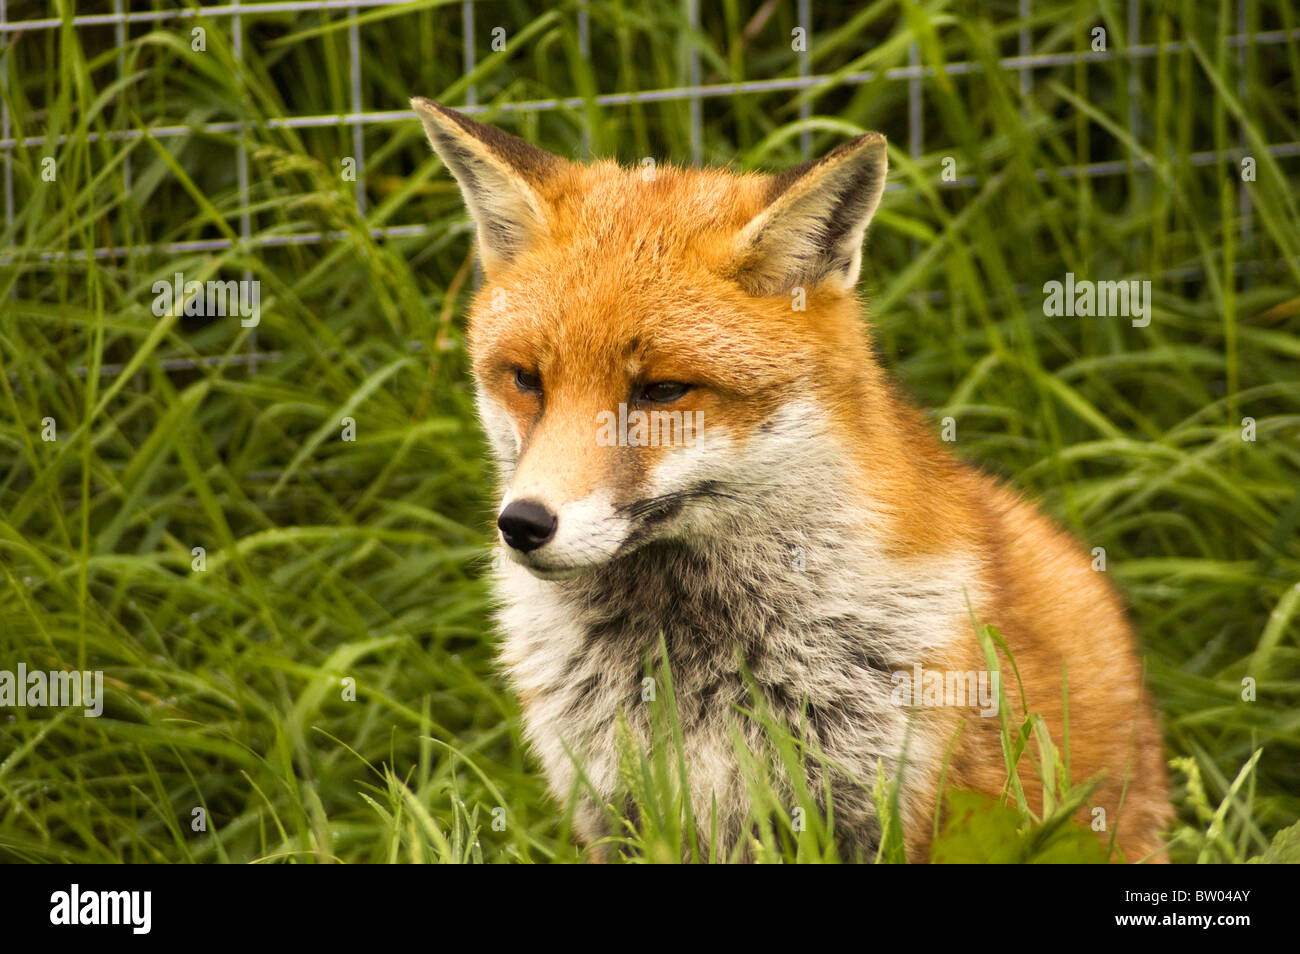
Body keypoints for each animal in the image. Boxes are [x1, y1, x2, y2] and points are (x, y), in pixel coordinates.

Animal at [411, 96, 1172, 862]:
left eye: (663, 390)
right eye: (526, 379)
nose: (523, 524)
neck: (696, 665)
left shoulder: (897, 809)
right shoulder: (616, 813)